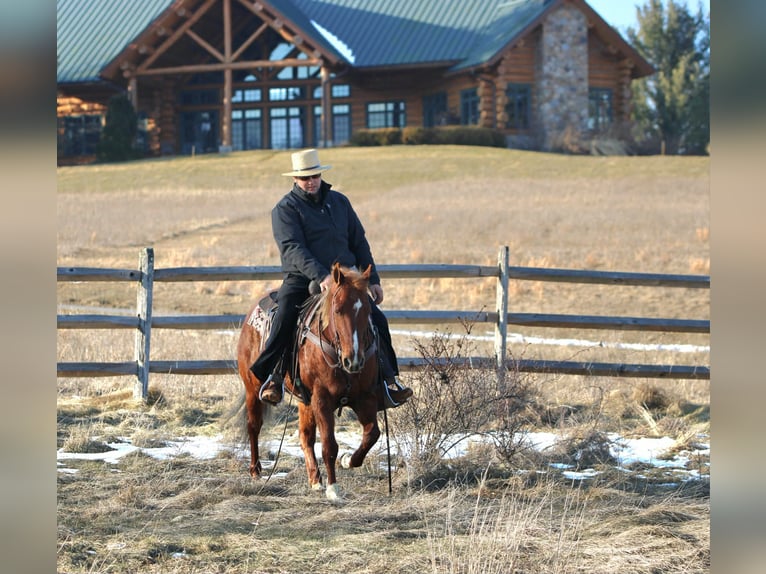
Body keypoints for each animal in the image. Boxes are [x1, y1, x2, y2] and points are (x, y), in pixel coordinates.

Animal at [237, 263, 382, 500]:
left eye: (367, 311)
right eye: (338, 309)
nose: (354, 360)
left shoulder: (365, 397)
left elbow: (371, 434)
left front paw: (348, 461)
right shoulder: (322, 399)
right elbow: (329, 445)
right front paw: (334, 488)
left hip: (304, 400)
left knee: (305, 437)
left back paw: (315, 479)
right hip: (253, 388)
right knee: (254, 425)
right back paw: (256, 470)